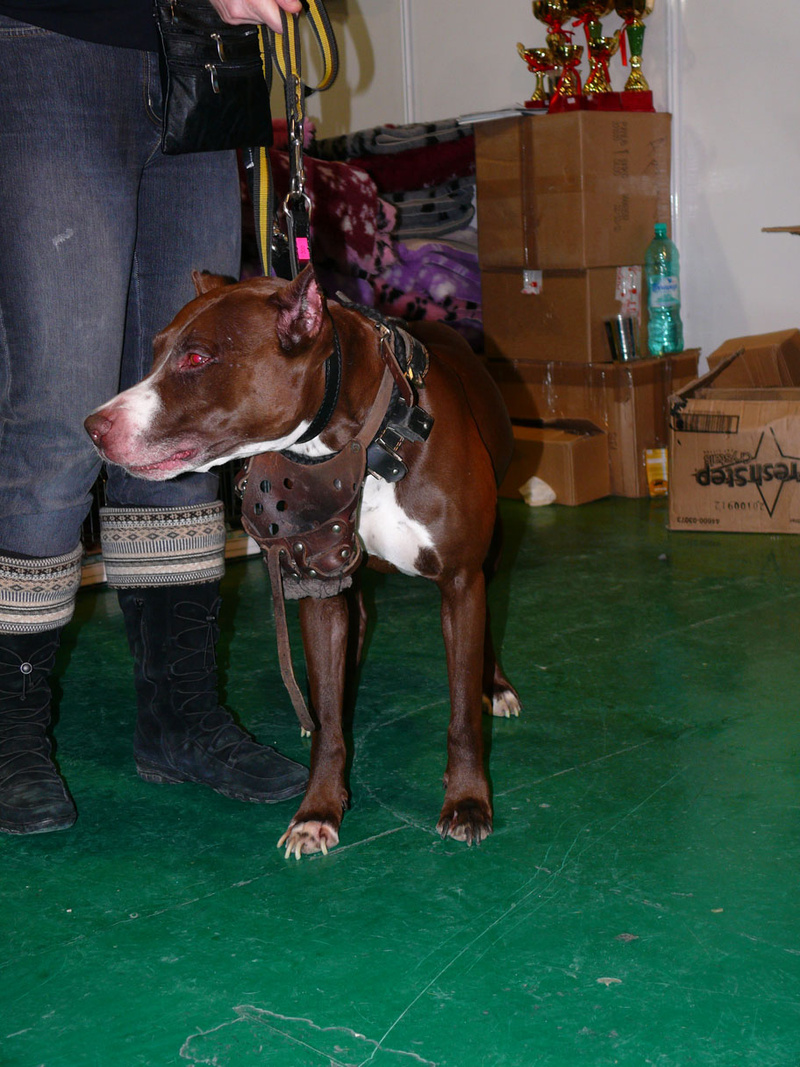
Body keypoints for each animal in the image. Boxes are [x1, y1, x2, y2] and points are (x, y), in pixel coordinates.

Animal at [85, 267, 521, 857]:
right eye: (154, 352)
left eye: (197, 358)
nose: (93, 426)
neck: (363, 444)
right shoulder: (321, 581)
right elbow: (332, 725)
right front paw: (318, 809)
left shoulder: (458, 582)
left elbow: (461, 716)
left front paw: (469, 801)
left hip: (488, 557)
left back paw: (494, 685)